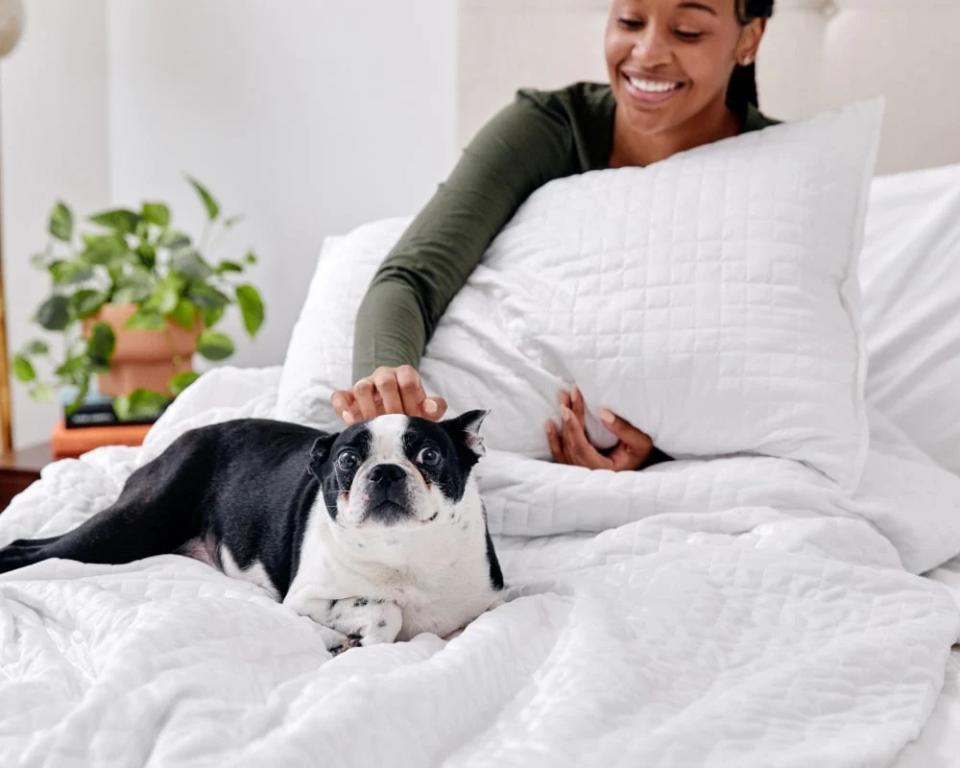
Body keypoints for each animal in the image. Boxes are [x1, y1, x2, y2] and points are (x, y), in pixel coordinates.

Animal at [0, 412, 506, 652]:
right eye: (347, 460)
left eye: (429, 456)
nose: (384, 471)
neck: (402, 553)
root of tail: (180, 440)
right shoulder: (306, 599)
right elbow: (384, 611)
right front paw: (351, 640)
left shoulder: (486, 607)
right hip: (130, 529)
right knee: (33, 548)